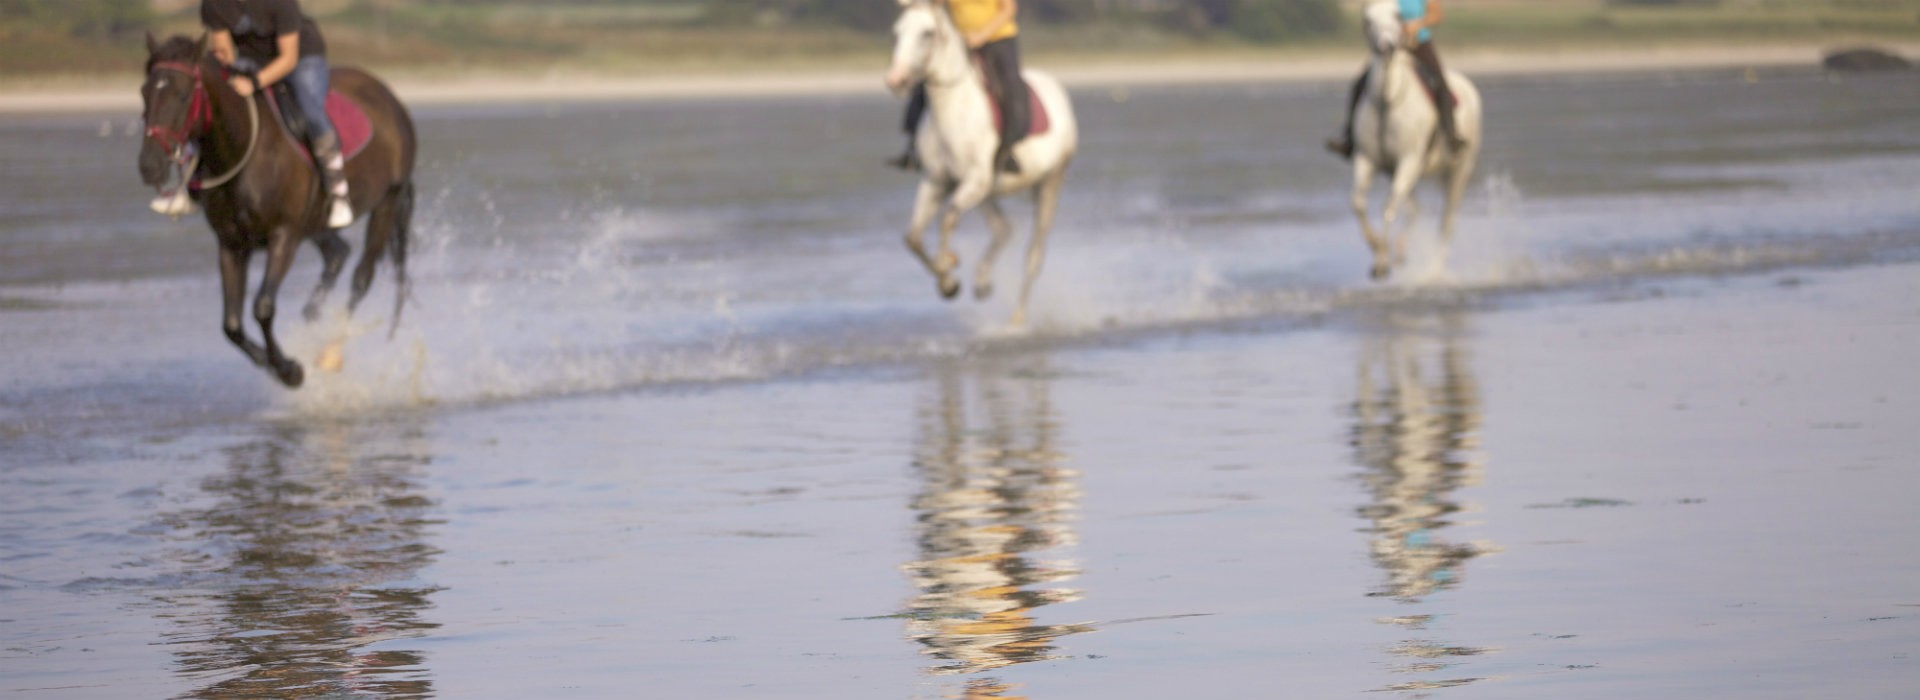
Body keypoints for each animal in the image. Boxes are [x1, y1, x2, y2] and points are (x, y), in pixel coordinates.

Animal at [139, 34, 416, 387]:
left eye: (183, 94)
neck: (241, 147)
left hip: (387, 201)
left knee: (361, 277)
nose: (149, 165)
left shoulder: (284, 235)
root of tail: (390, 99)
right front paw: (269, 361)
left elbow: (262, 307)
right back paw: (312, 320)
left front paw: (289, 370)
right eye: (143, 92)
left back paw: (330, 352)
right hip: (317, 223)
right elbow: (231, 325)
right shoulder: (231, 245)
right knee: (337, 253)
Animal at [887, 0, 1082, 327]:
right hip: (988, 192)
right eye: (897, 31)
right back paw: (982, 283)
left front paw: (947, 274)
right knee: (1003, 229)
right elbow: (912, 238)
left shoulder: (974, 182)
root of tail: (1056, 89)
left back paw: (1017, 319)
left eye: (927, 33)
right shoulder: (937, 181)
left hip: (1049, 182)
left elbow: (948, 220)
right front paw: (949, 282)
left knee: (1033, 255)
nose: (896, 80)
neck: (954, 110)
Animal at [1351, 0, 1482, 278]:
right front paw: (1377, 248)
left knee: (1446, 223)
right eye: (1369, 19)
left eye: (1398, 16)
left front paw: (1381, 263)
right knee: (1415, 208)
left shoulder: (1409, 159)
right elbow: (1358, 203)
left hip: (1459, 170)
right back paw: (1401, 252)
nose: (1386, 47)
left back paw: (1435, 271)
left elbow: (1390, 207)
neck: (1387, 100)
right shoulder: (1366, 159)